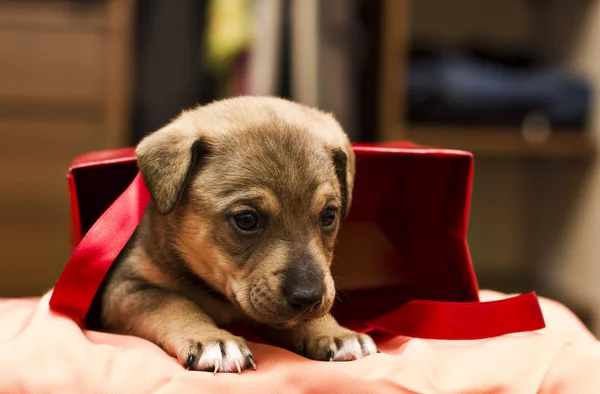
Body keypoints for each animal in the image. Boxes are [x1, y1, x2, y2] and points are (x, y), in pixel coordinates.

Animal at [87, 95, 378, 372]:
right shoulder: (127, 288)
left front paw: (335, 332)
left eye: (328, 216)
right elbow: (175, 304)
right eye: (246, 219)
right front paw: (212, 339)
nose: (307, 298)